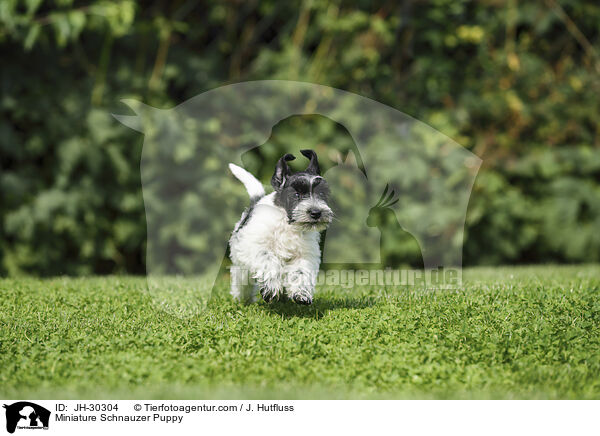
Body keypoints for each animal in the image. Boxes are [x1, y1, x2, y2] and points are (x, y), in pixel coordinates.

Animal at [229, 152, 332, 304]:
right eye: (296, 194)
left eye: (321, 194)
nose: (316, 213)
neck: (287, 224)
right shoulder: (257, 247)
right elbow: (268, 261)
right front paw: (271, 289)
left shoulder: (304, 254)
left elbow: (300, 271)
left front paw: (301, 293)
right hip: (241, 265)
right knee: (242, 283)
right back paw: (243, 300)